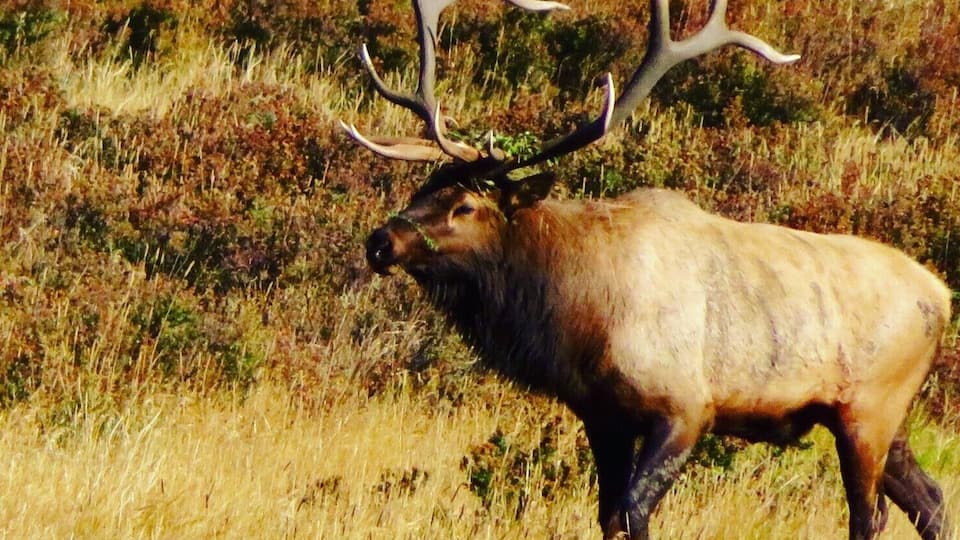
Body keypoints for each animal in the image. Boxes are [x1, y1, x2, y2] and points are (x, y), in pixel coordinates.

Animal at [339, 1, 953, 538]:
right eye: (424, 186)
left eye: (465, 206)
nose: (380, 241)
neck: (580, 314)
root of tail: (944, 296)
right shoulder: (601, 413)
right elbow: (608, 513)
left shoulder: (686, 407)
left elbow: (635, 513)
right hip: (886, 417)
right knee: (932, 498)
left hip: (870, 409)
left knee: (870, 516)